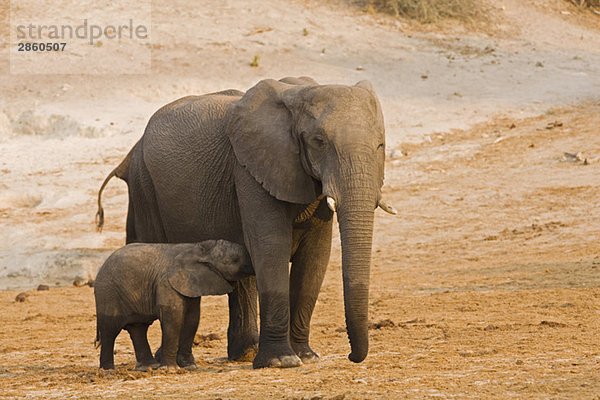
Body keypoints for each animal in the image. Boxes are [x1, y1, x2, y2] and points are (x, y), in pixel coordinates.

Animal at [94, 239, 253, 370]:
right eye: (235, 259)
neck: (200, 248)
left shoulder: (190, 284)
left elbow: (192, 318)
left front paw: (189, 366)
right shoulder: (167, 283)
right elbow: (173, 317)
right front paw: (170, 370)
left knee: (138, 328)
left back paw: (148, 367)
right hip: (107, 294)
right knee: (109, 331)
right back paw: (107, 372)